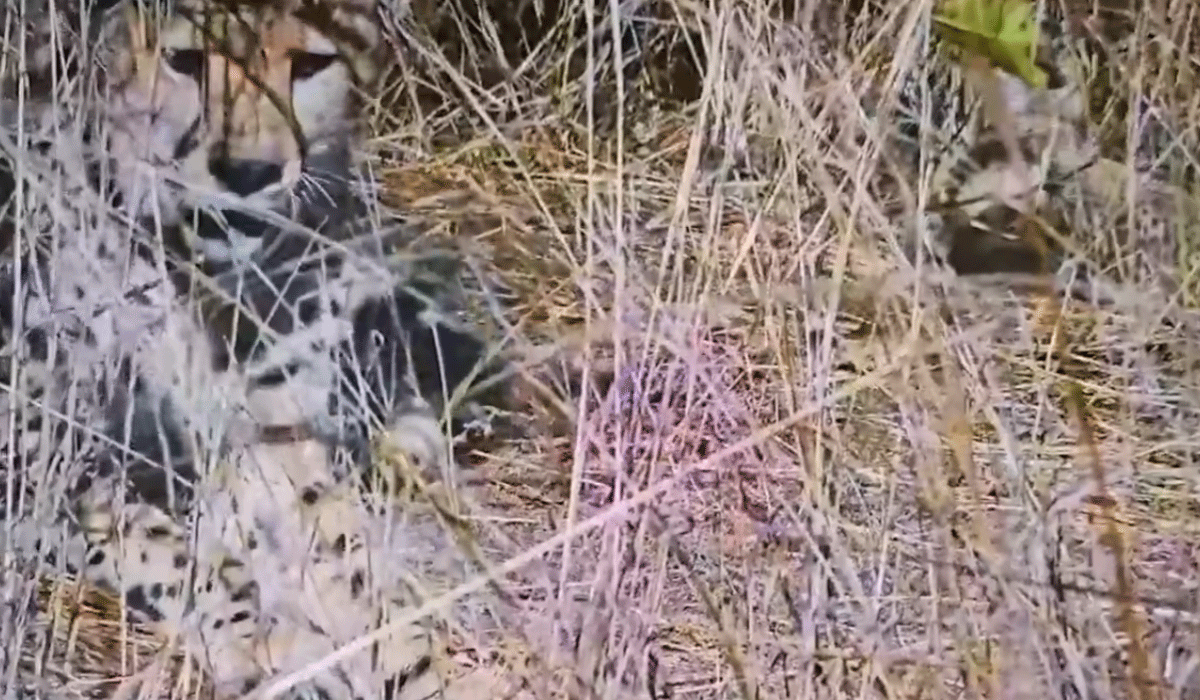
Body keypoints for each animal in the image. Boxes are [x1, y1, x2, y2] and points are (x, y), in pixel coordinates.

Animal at [0, 0, 512, 698]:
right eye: (185, 60)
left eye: (311, 64)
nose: (249, 173)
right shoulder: (35, 463)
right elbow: (175, 547)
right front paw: (265, 643)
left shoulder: (273, 442)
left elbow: (344, 554)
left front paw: (408, 659)